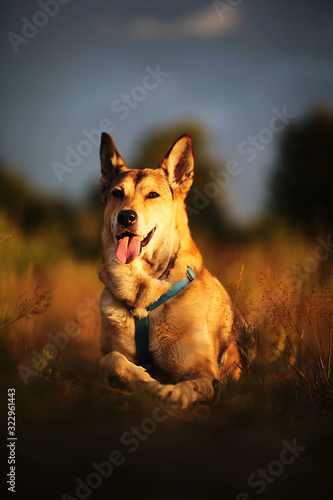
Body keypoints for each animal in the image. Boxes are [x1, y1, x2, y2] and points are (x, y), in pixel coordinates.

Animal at [97, 131, 240, 408]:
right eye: (117, 193)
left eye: (152, 195)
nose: (126, 217)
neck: (143, 298)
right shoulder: (108, 355)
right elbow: (112, 360)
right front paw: (146, 380)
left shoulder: (205, 373)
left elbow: (190, 385)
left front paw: (173, 392)